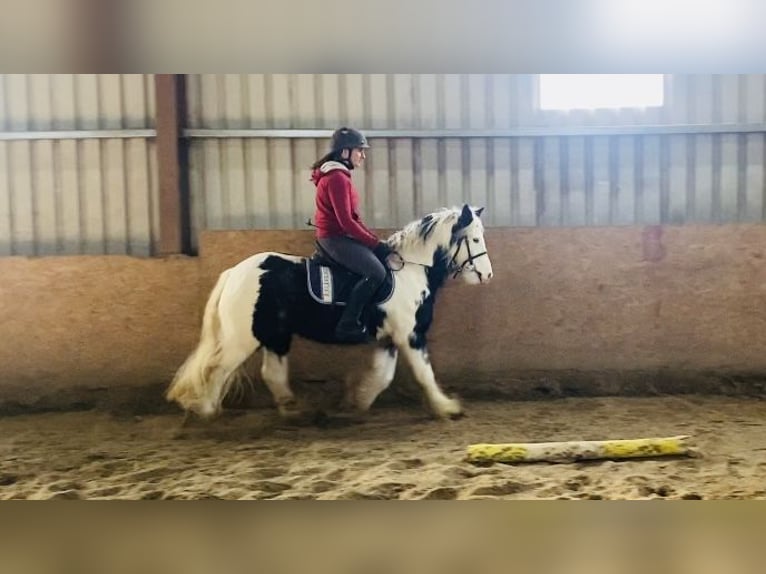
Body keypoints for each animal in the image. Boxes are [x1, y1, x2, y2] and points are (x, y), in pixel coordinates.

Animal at [165, 205, 496, 420]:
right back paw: (206, 412)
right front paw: (447, 407)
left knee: (271, 373)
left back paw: (292, 409)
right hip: (243, 339)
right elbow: (425, 374)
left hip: (276, 335)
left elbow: (383, 376)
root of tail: (234, 272)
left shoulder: (390, 338)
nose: (487, 275)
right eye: (475, 239)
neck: (412, 272)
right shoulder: (410, 335)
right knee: (217, 369)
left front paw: (356, 402)